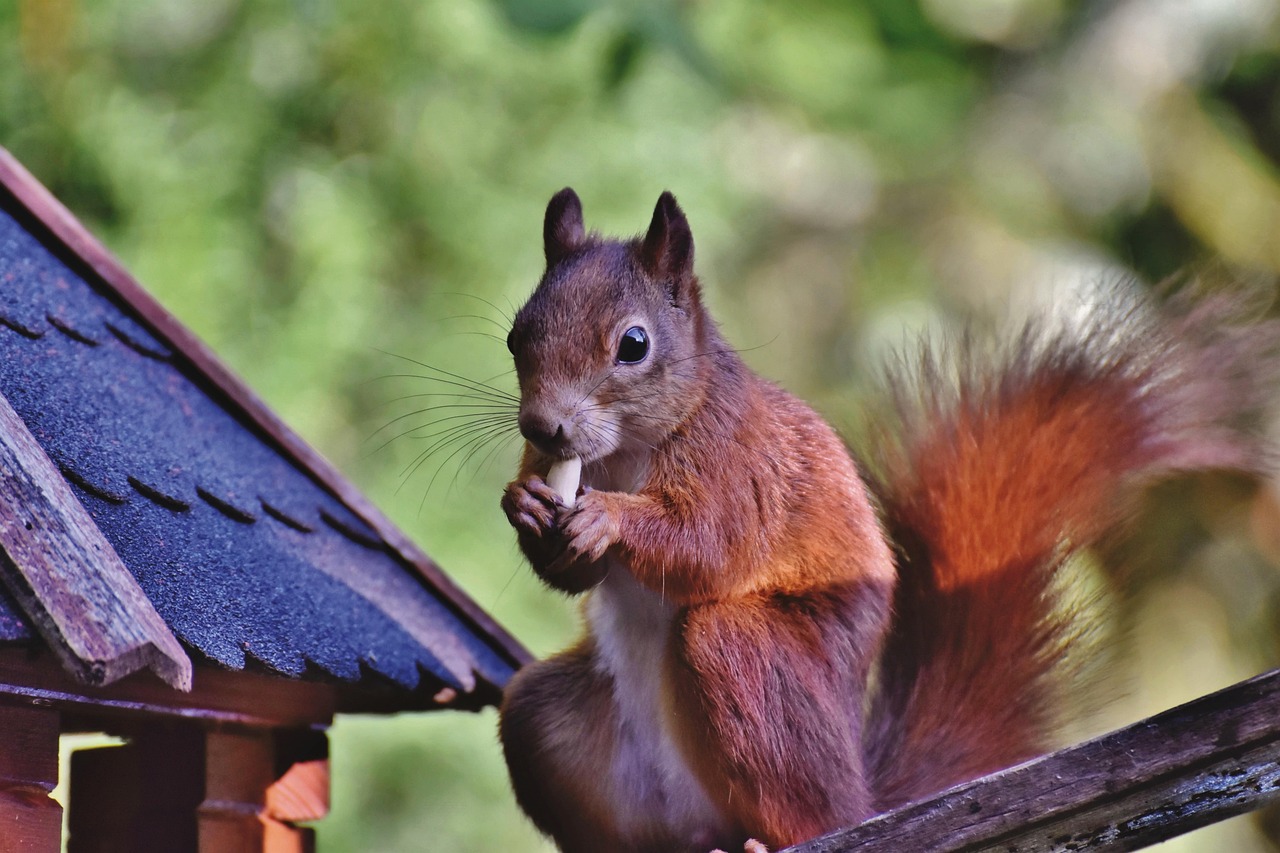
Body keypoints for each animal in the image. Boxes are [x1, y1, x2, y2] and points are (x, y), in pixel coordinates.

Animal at [496, 188, 1277, 852]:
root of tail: (864, 795)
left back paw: (771, 839)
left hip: (753, 666)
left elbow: (713, 546)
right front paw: (526, 507)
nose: (544, 425)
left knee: (788, 768)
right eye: (515, 336)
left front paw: (607, 517)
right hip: (545, 717)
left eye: (633, 344)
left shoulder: (741, 462)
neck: (626, 450)